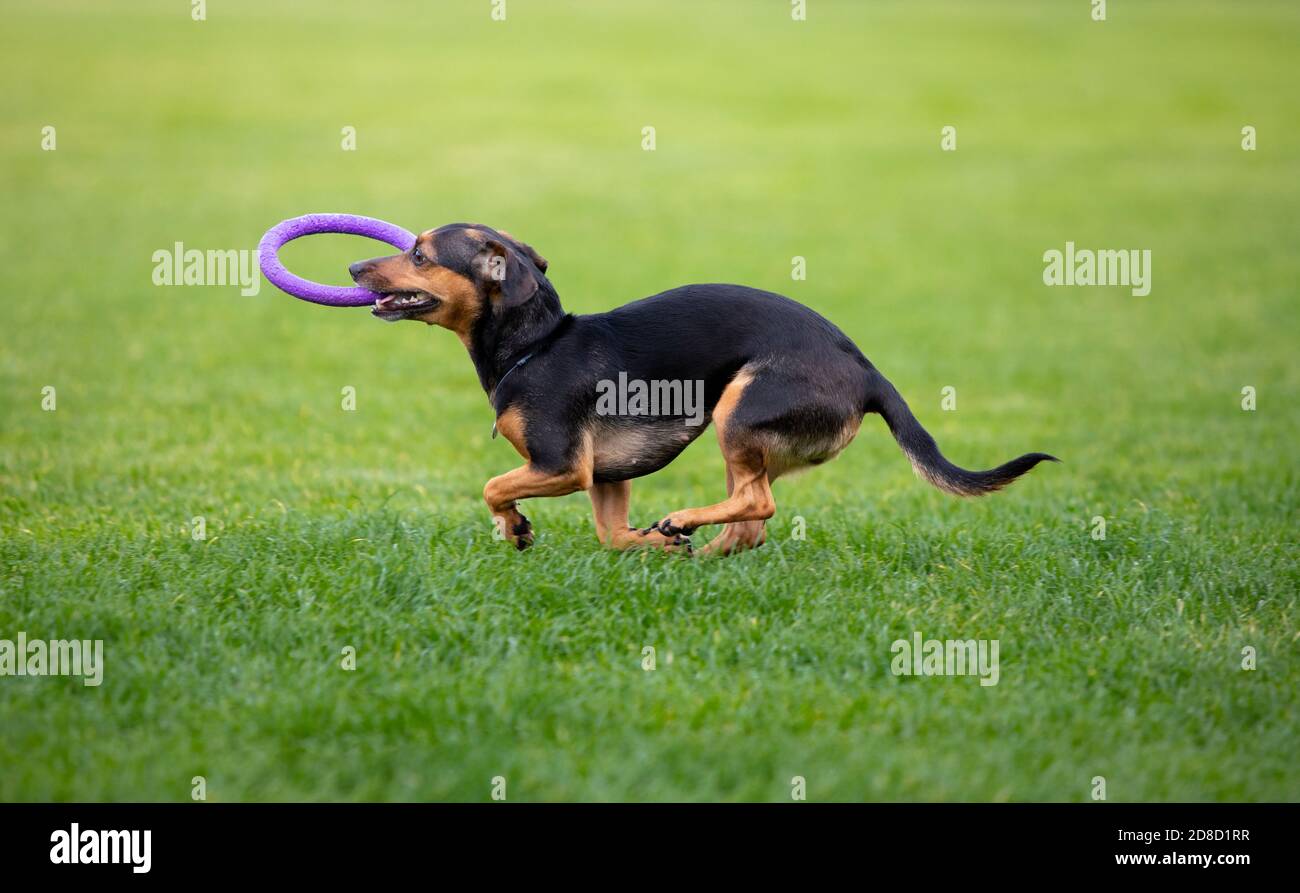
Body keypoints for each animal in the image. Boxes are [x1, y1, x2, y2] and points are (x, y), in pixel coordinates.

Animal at [348, 223, 1055, 556]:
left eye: (418, 253)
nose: (353, 265)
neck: (536, 345)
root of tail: (869, 373)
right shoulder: (608, 478)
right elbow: (611, 534)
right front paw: (649, 546)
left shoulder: (562, 467)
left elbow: (494, 485)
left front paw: (515, 526)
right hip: (741, 438)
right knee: (752, 521)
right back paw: (700, 549)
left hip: (736, 410)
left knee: (759, 505)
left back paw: (686, 522)